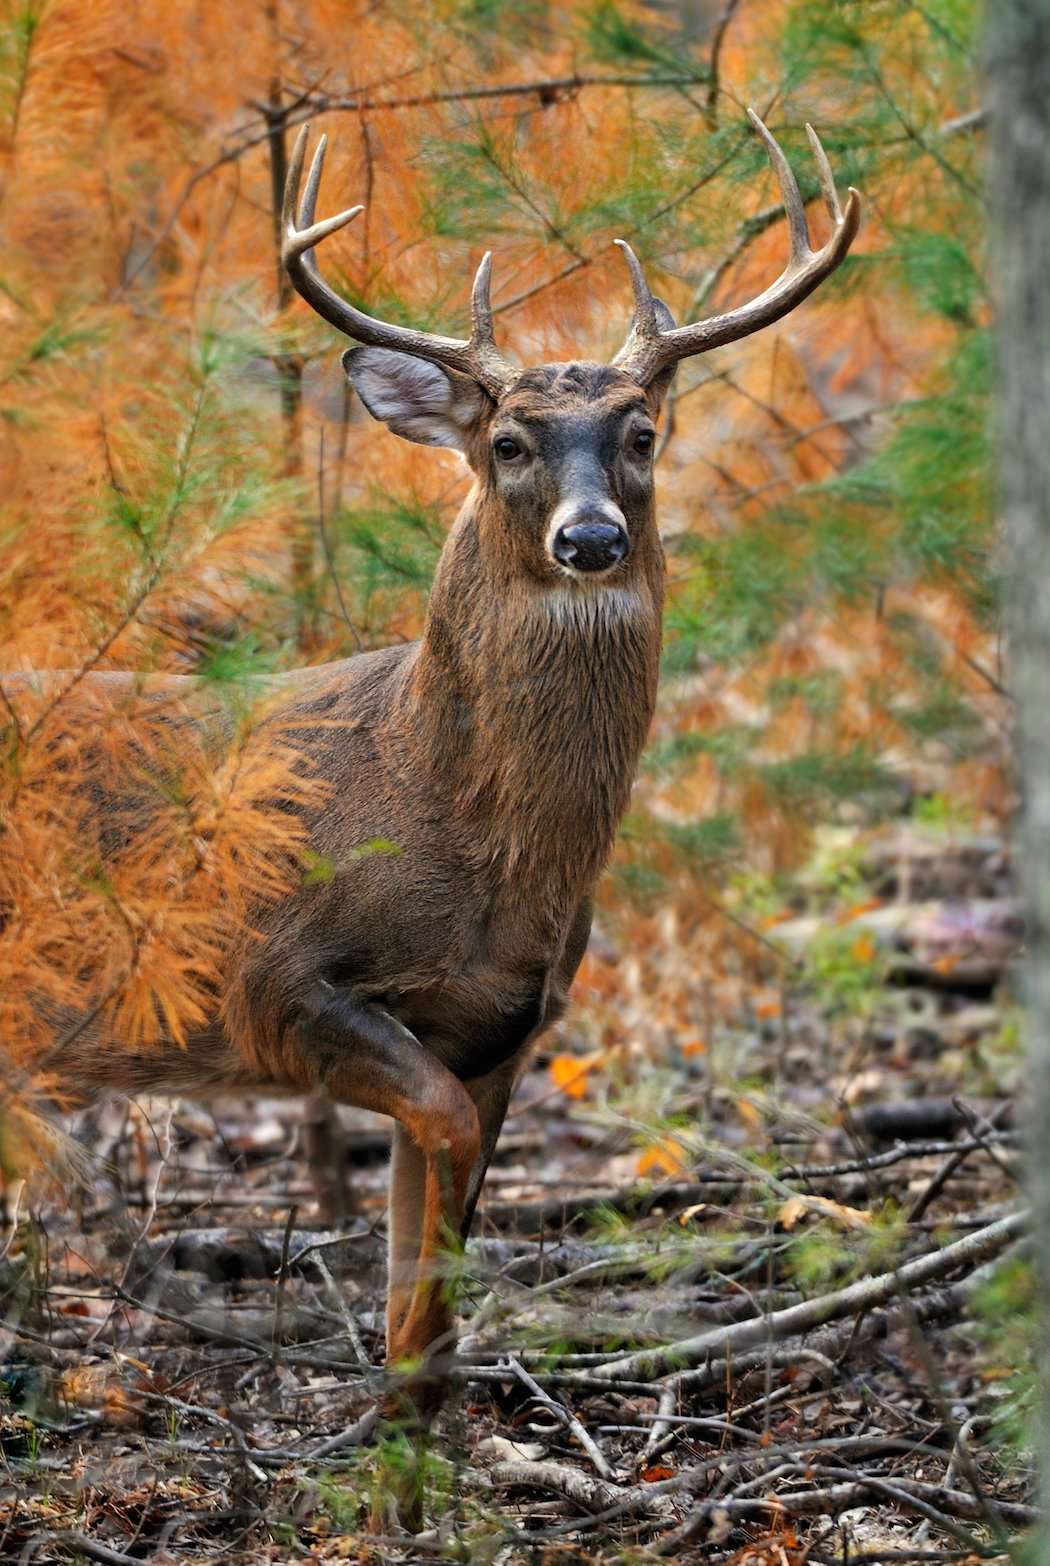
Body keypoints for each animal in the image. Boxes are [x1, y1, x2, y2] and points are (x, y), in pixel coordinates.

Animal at [3, 109, 858, 1474]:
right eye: (506, 441)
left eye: (643, 435)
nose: (590, 539)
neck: (451, 816)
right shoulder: (280, 982)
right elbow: (437, 1168)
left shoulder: (504, 1030)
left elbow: (438, 1274)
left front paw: (406, 1458)